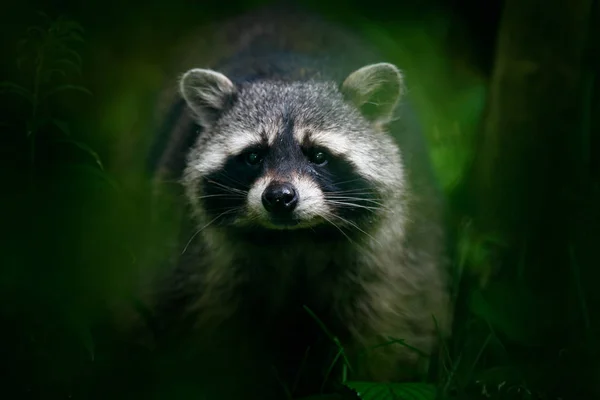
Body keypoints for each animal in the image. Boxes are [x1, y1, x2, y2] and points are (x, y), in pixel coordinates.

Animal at [143, 3, 452, 400]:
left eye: (318, 155)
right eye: (253, 156)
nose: (279, 197)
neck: (296, 239)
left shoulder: (389, 259)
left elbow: (389, 331)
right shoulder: (201, 264)